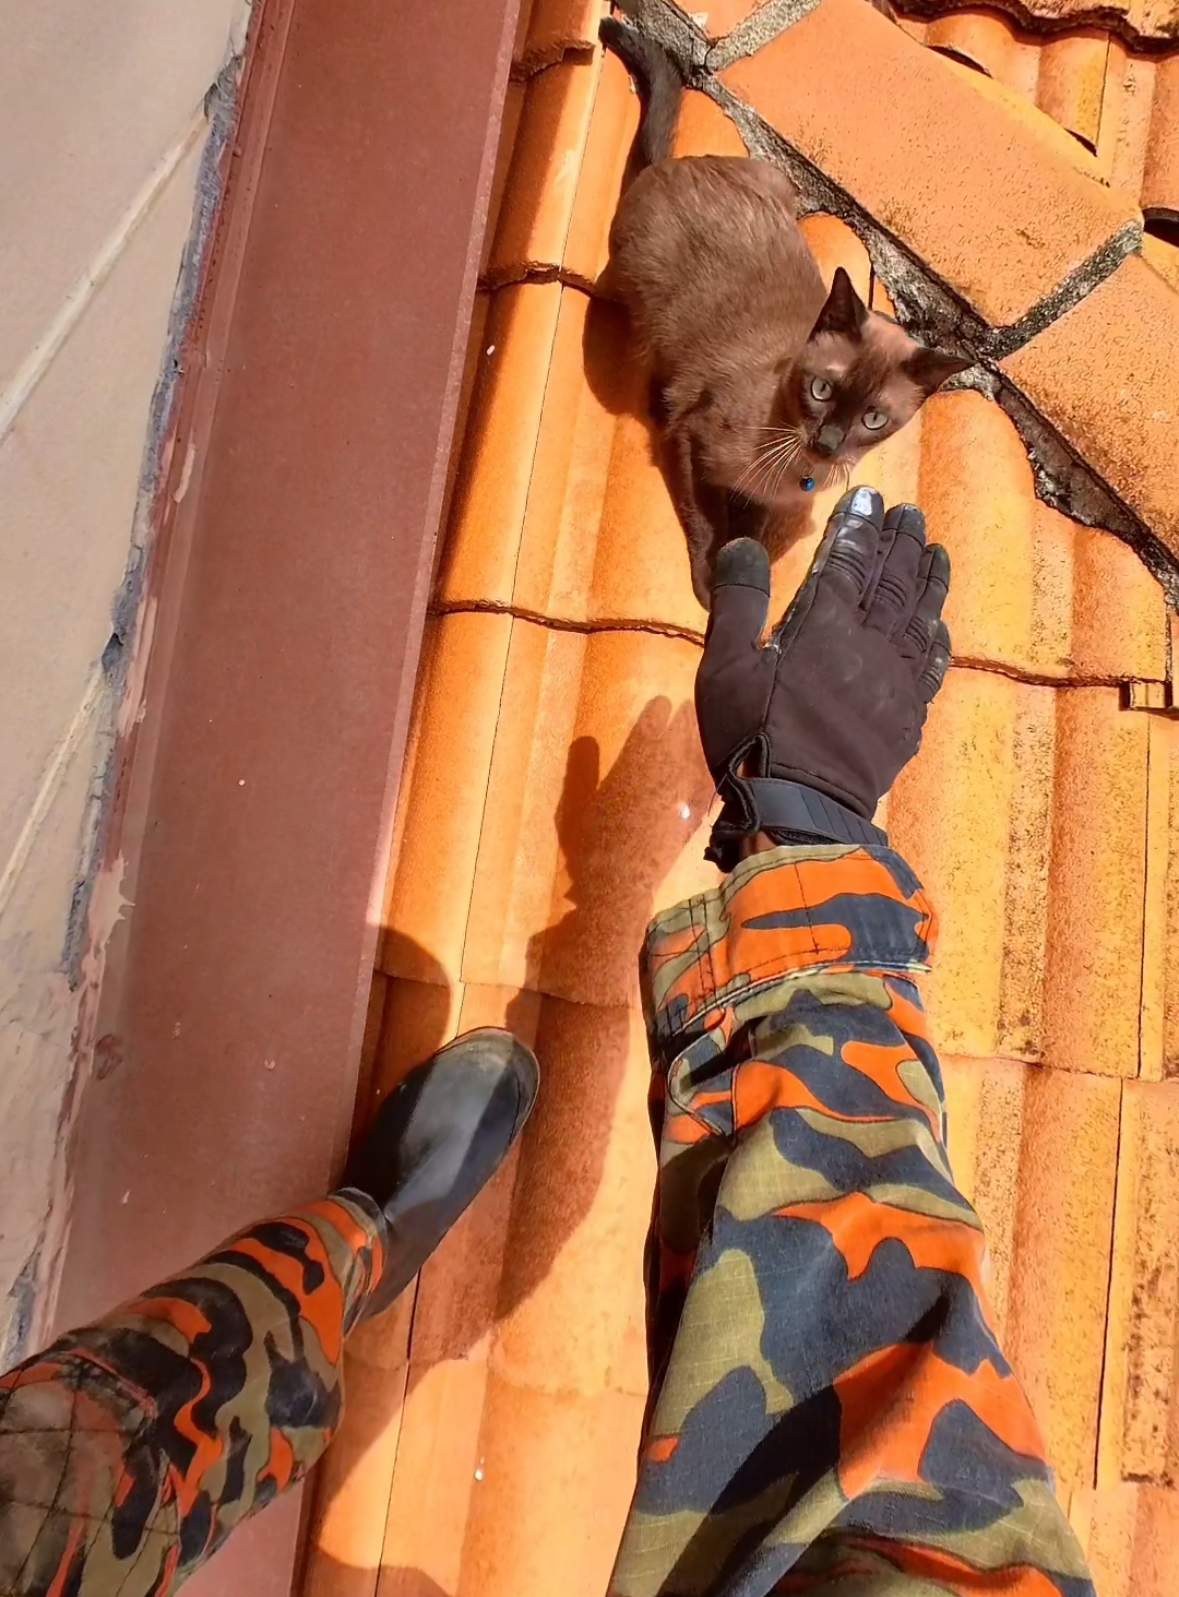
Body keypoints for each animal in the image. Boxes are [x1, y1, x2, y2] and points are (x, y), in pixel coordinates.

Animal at [600, 18, 971, 603]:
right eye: (821, 390)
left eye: (872, 419)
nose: (827, 442)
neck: (793, 466)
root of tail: (672, 168)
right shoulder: (692, 443)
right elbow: (709, 524)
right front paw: (713, 585)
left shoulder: (762, 499)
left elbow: (749, 530)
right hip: (645, 302)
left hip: (779, 184)